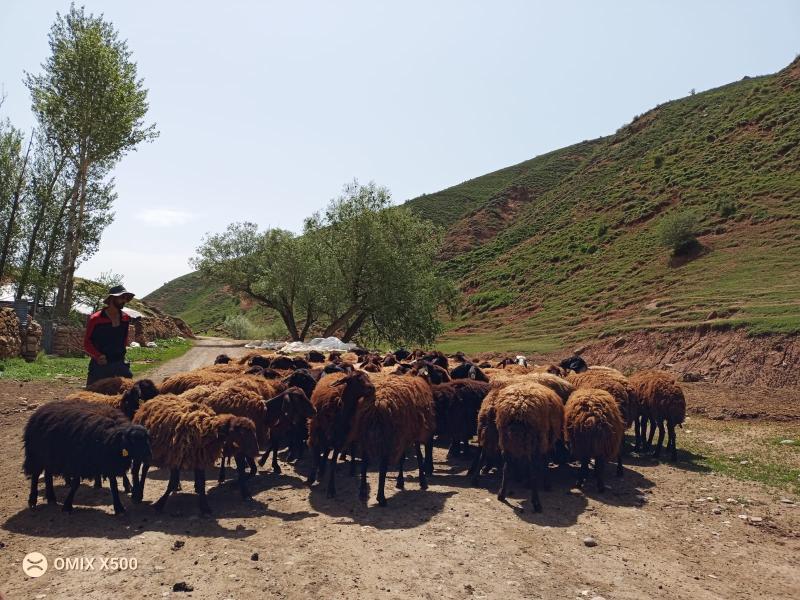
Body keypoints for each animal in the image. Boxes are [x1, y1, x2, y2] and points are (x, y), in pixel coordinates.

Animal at [24, 398, 152, 516]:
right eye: (134, 441)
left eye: (147, 439)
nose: (149, 457)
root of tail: (41, 409)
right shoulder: (80, 461)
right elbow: (75, 484)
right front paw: (67, 506)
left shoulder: (108, 462)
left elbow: (114, 485)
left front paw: (119, 508)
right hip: (36, 455)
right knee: (35, 475)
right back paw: (33, 500)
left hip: (50, 456)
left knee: (48, 474)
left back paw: (51, 498)